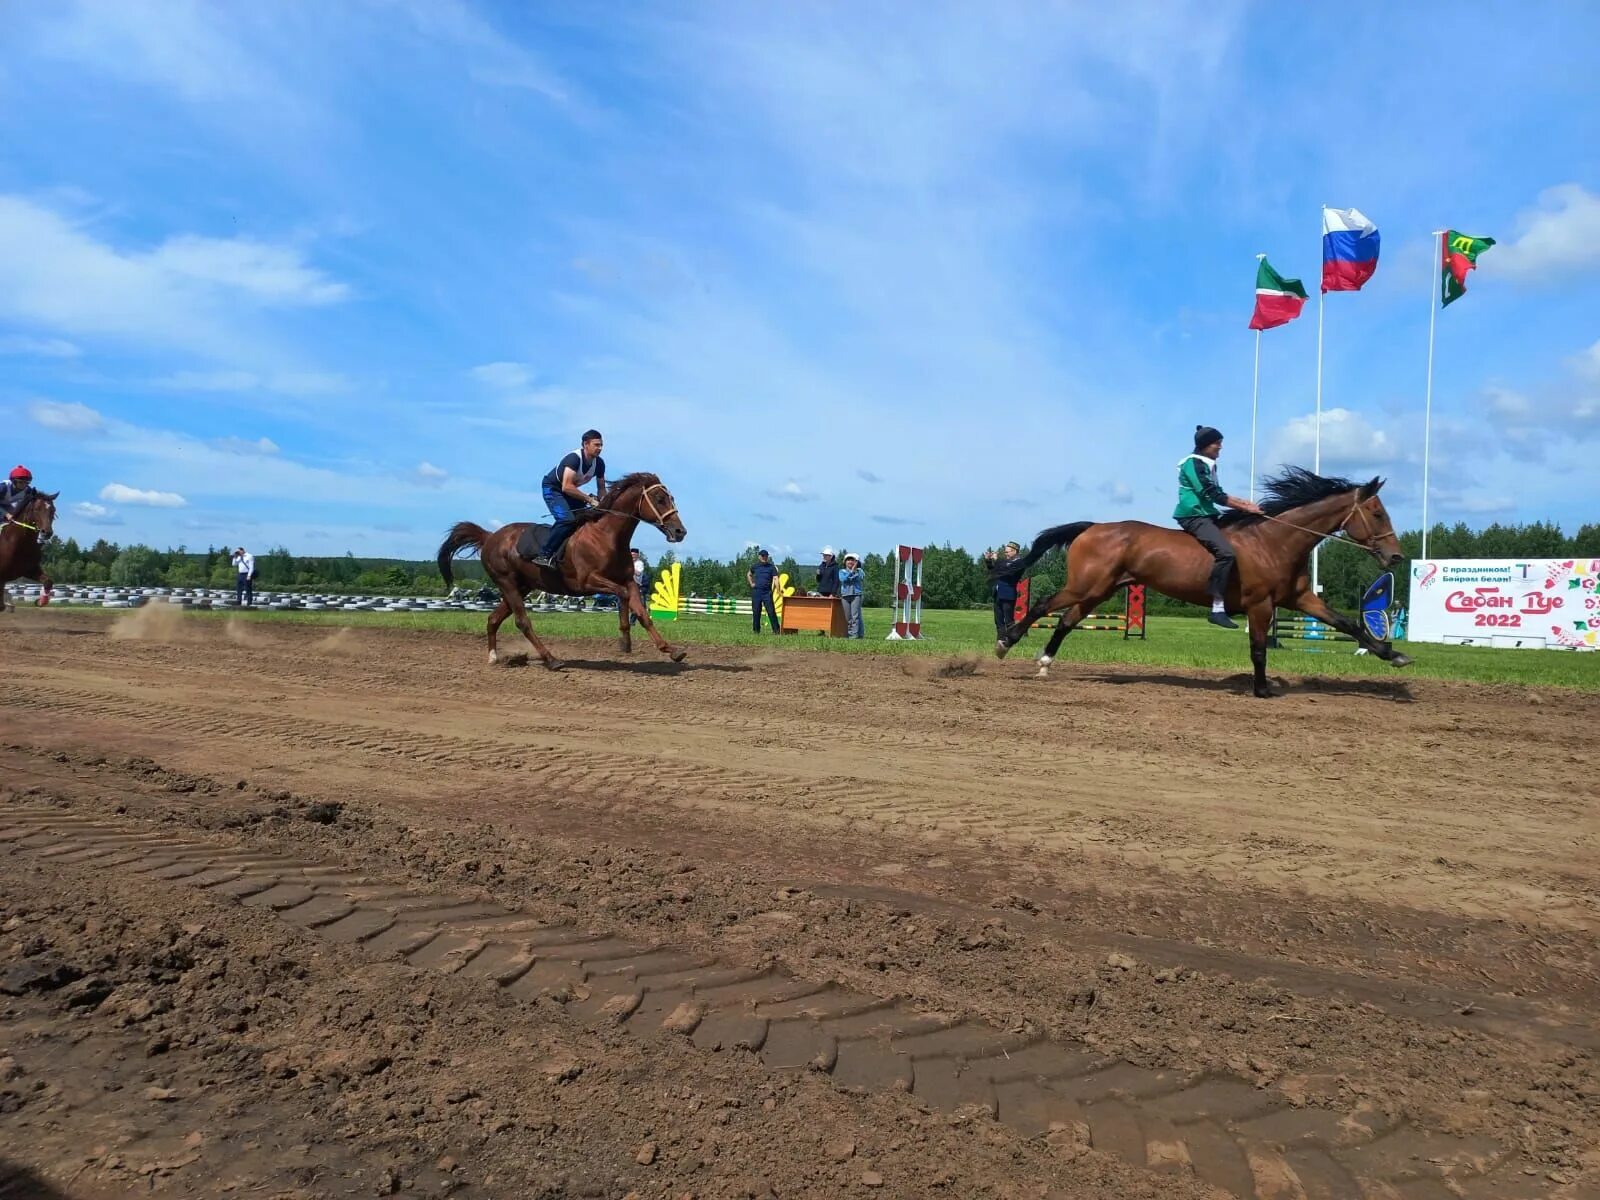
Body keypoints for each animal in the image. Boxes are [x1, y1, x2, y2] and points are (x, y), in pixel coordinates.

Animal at [438, 473, 688, 678]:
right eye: (659, 499)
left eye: (671, 498)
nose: (680, 531)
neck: (607, 537)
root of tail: (489, 536)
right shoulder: (588, 582)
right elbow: (623, 595)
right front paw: (625, 640)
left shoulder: (628, 580)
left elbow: (642, 613)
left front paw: (671, 650)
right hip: (506, 582)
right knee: (522, 621)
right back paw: (552, 660)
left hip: (521, 587)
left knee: (493, 619)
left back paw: (493, 657)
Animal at [992, 467, 1408, 700]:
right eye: (1376, 512)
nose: (1396, 557)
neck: (1275, 541)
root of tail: (1092, 527)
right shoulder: (1261, 605)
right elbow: (1259, 649)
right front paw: (1262, 690)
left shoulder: (1302, 599)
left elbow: (1349, 624)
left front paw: (1394, 655)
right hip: (1086, 586)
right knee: (1043, 605)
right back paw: (1005, 642)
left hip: (1100, 590)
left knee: (1065, 620)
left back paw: (1044, 662)